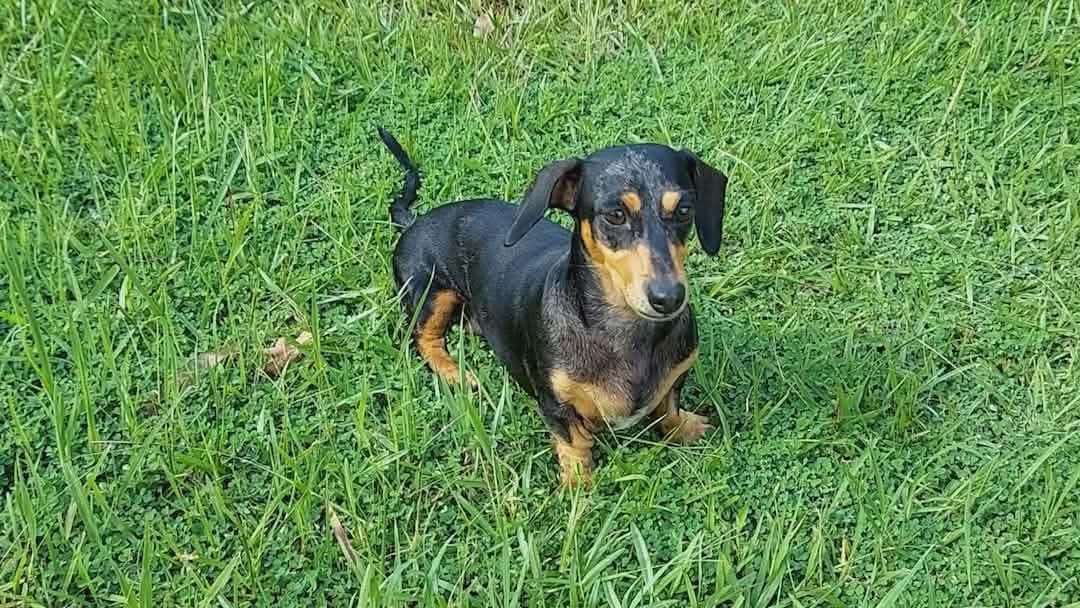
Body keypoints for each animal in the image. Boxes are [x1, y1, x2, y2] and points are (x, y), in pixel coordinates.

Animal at [379, 127, 727, 486]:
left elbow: (669, 406)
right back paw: (453, 372)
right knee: (423, 340)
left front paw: (684, 427)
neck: (626, 333)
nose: (669, 297)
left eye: (684, 210)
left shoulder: (677, 374)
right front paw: (579, 485)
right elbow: (574, 442)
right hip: (430, 292)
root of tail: (414, 222)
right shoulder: (555, 404)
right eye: (616, 215)